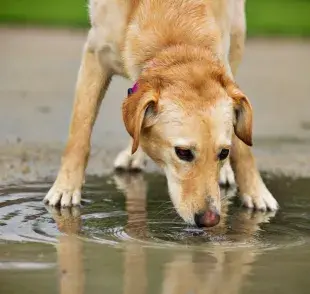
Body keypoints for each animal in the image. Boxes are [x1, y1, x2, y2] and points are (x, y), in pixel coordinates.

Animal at [43, 0, 278, 227]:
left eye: (223, 153)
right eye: (183, 152)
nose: (210, 220)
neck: (177, 42)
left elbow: (243, 148)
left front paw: (256, 191)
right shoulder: (95, 56)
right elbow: (79, 133)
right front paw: (65, 188)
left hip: (238, 34)